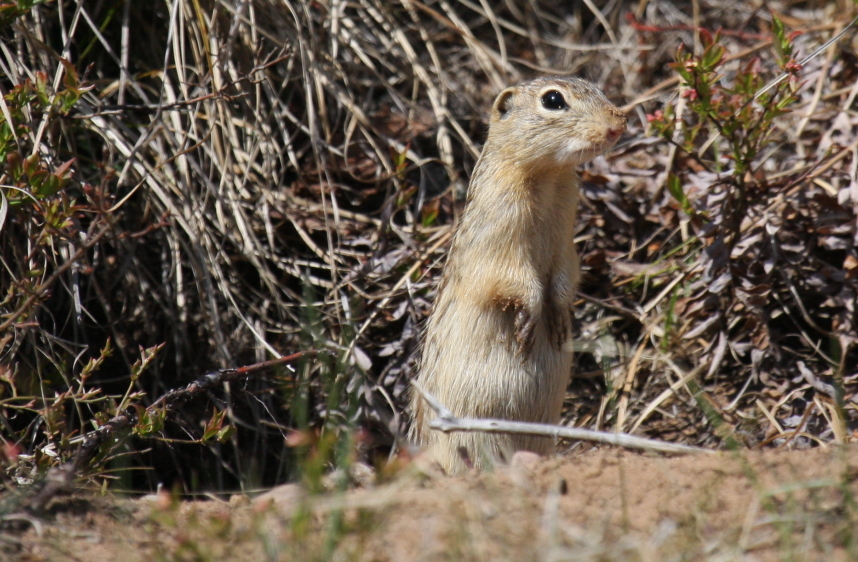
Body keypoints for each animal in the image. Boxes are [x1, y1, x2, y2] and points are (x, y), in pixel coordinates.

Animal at [408, 75, 620, 472]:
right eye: (553, 100)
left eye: (596, 86)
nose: (618, 124)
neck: (548, 179)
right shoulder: (501, 248)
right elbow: (518, 284)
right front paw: (530, 323)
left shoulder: (566, 245)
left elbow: (565, 279)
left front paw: (561, 320)